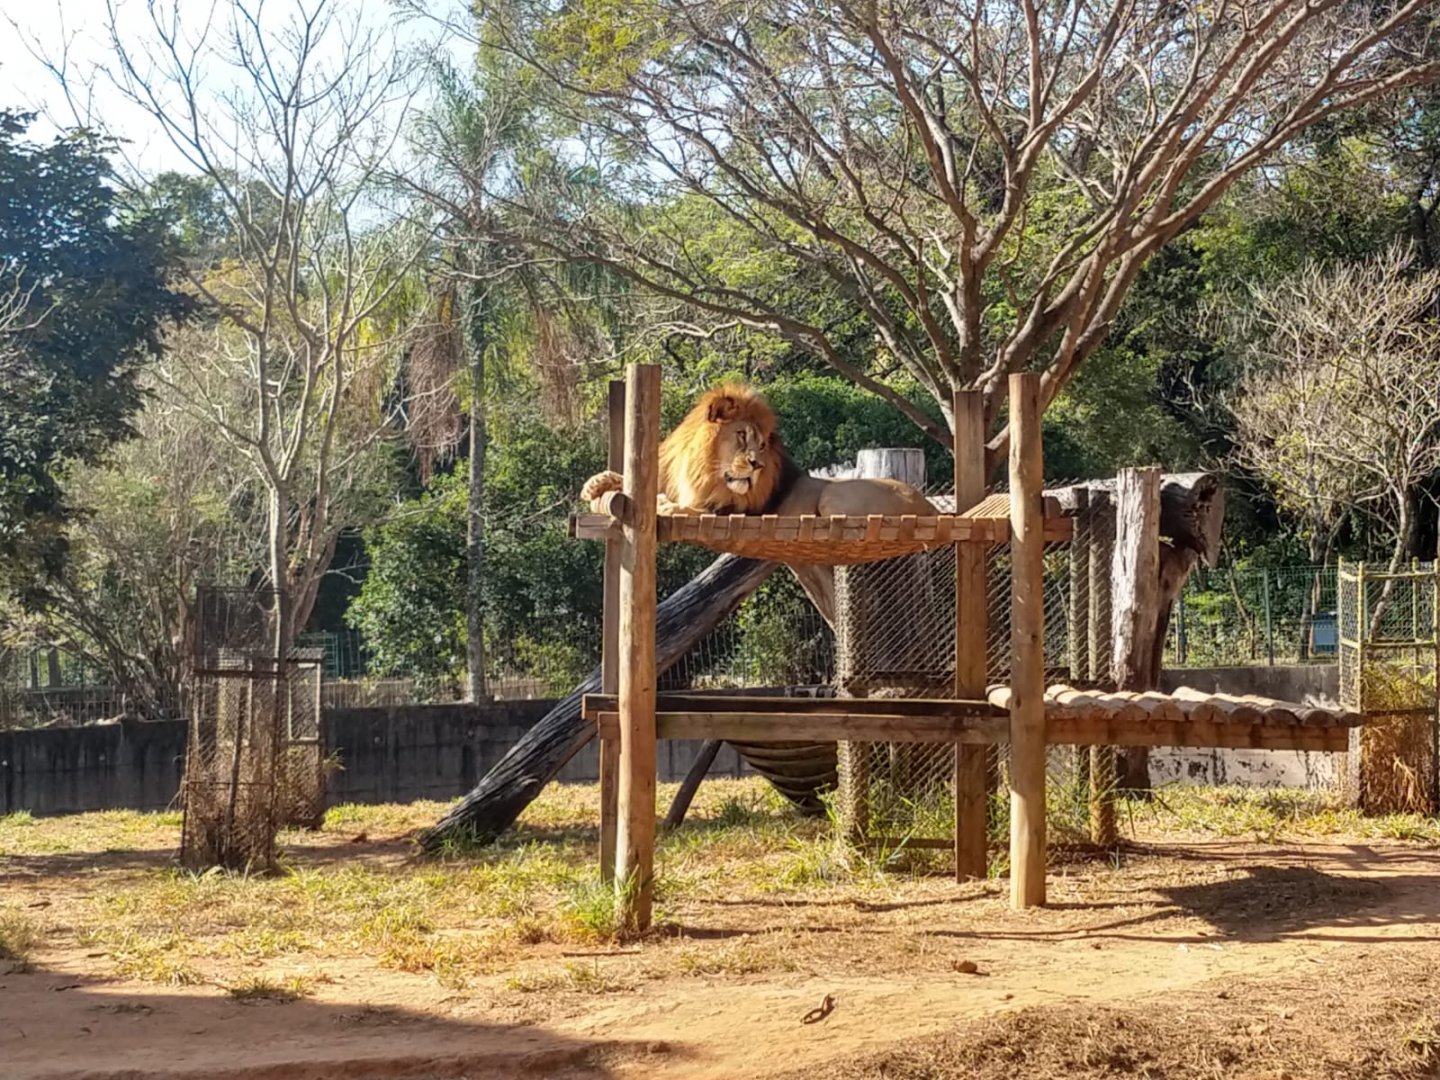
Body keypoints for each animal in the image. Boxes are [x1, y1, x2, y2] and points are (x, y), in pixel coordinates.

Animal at [580, 382, 939, 625]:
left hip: (834, 495)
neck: (705, 471)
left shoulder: (730, 511)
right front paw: (596, 483)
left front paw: (667, 506)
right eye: (741, 436)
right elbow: (632, 481)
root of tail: (931, 508)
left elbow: (686, 506)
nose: (756, 465)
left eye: (763, 444)